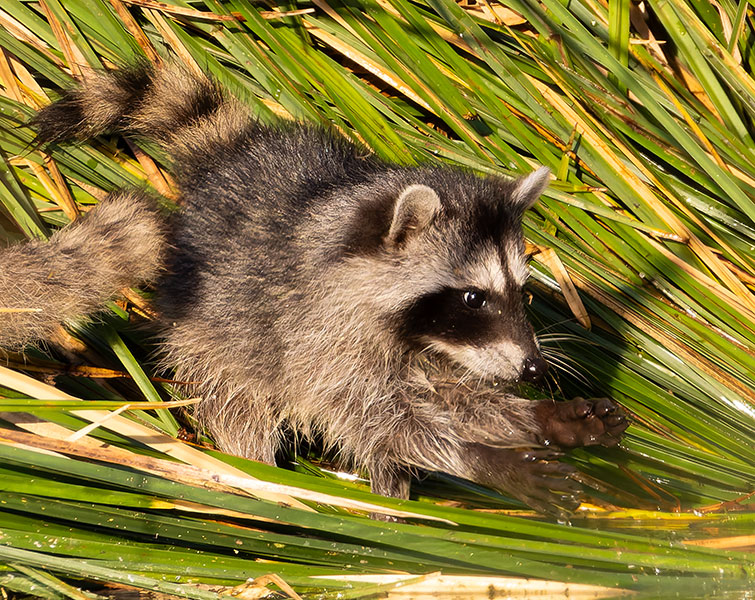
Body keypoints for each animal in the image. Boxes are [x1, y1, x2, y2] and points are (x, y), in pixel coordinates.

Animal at [1, 63, 627, 513]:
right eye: (474, 297)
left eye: (522, 292)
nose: (534, 369)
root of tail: (235, 157)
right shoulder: (317, 336)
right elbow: (380, 422)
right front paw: (482, 459)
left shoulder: (434, 350)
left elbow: (453, 398)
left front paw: (532, 417)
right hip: (213, 327)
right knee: (240, 407)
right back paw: (274, 482)